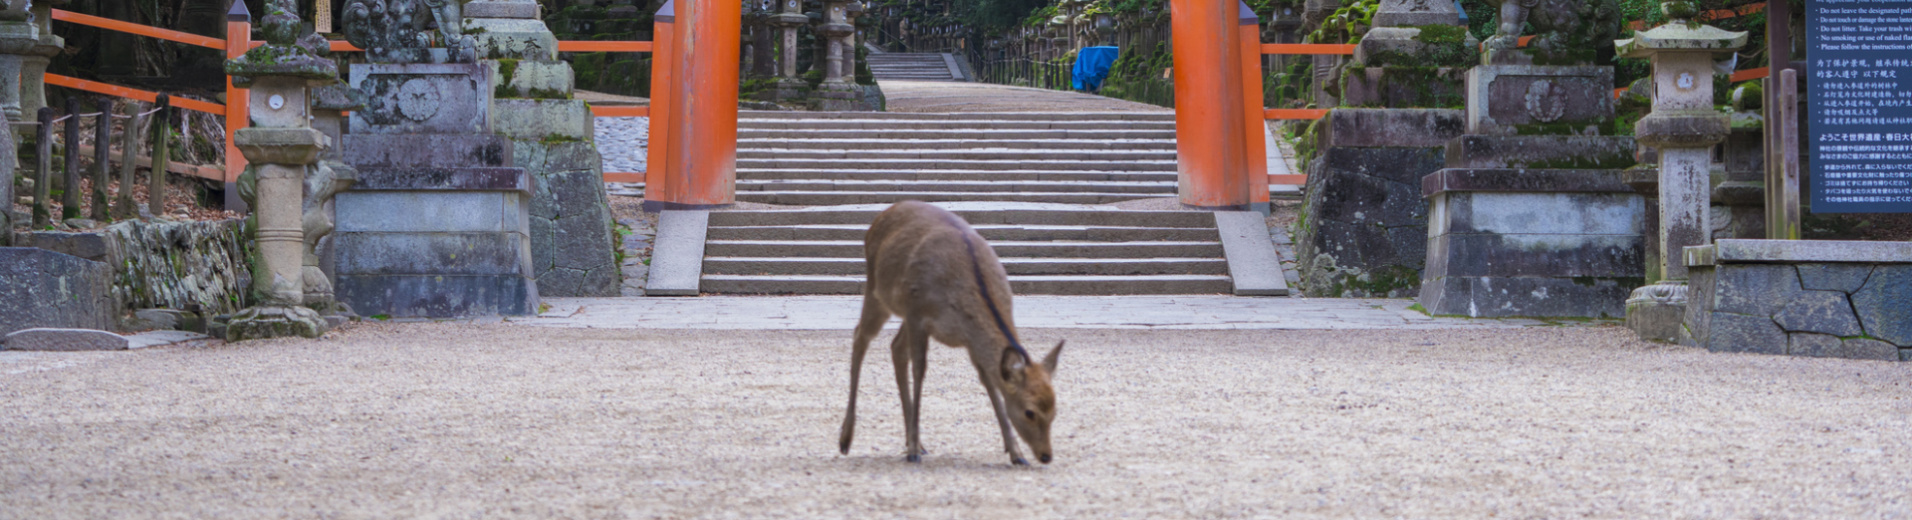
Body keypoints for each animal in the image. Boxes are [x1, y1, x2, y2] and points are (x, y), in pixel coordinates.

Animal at [841, 200, 1070, 464]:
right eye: (1029, 412)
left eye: (1054, 410)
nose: (1046, 455)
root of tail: (883, 214)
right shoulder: (918, 315)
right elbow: (919, 371)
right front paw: (912, 451)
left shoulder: (968, 340)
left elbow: (989, 382)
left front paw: (1016, 453)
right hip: (877, 292)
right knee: (860, 336)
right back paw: (847, 439)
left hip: (902, 311)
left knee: (896, 348)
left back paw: (917, 444)